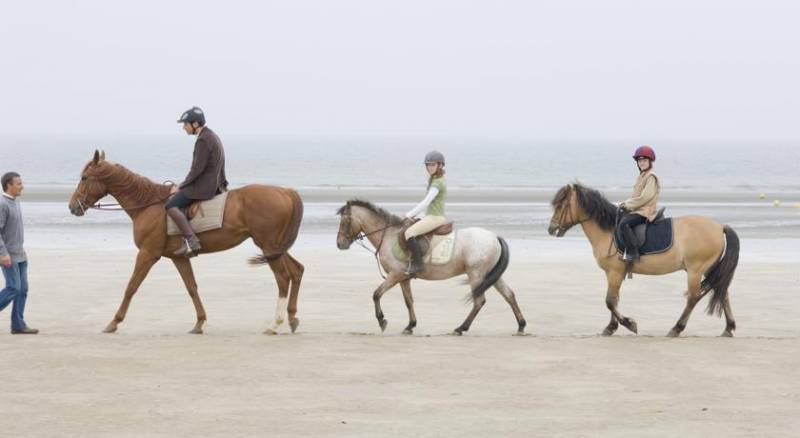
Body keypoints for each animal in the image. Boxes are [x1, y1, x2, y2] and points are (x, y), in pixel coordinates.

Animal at [69, 149, 304, 334]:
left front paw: (114, 322)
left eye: (85, 177)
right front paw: (199, 323)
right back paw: (292, 318)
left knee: (283, 278)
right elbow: (191, 287)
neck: (148, 205)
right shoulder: (178, 257)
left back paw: (275, 324)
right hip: (275, 247)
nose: (72, 207)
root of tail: (286, 191)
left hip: (268, 245)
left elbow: (131, 286)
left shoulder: (147, 254)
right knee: (297, 271)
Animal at [336, 199, 528, 336]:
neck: (389, 236)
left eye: (345, 221)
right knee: (509, 295)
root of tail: (495, 237)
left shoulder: (395, 275)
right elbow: (408, 301)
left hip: (476, 274)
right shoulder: (403, 278)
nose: (340, 244)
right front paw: (410, 326)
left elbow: (376, 294)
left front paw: (382, 321)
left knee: (479, 301)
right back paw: (521, 326)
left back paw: (460, 328)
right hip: (491, 275)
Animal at [552, 183, 736, 338]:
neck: (609, 230)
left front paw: (629, 324)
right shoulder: (612, 273)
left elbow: (610, 301)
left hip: (695, 270)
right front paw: (611, 327)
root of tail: (719, 226)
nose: (551, 228)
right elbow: (614, 299)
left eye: (560, 206)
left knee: (693, 298)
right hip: (709, 269)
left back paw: (676, 328)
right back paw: (728, 328)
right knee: (722, 292)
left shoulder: (615, 272)